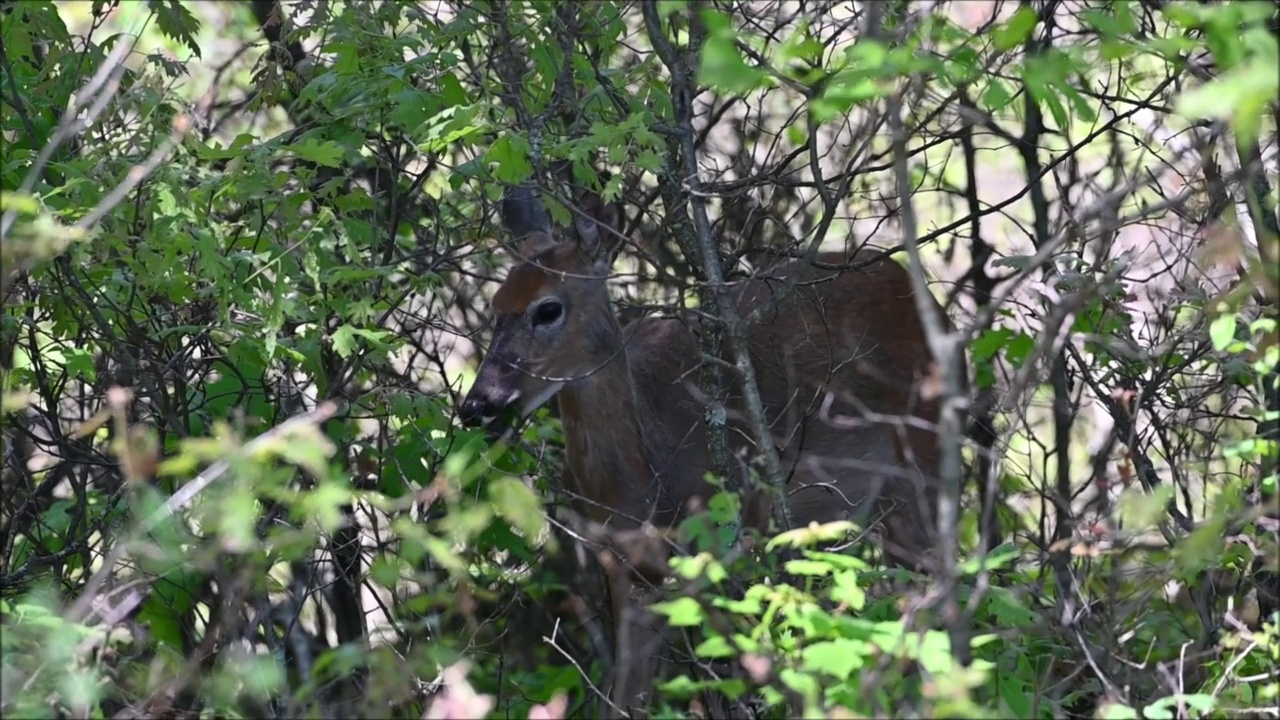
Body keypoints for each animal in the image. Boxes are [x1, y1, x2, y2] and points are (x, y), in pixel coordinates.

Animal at [460, 181, 952, 712]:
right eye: (495, 305)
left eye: (548, 308)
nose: (478, 404)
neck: (642, 479)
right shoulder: (626, 566)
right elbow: (626, 693)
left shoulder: (723, 536)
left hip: (924, 459)